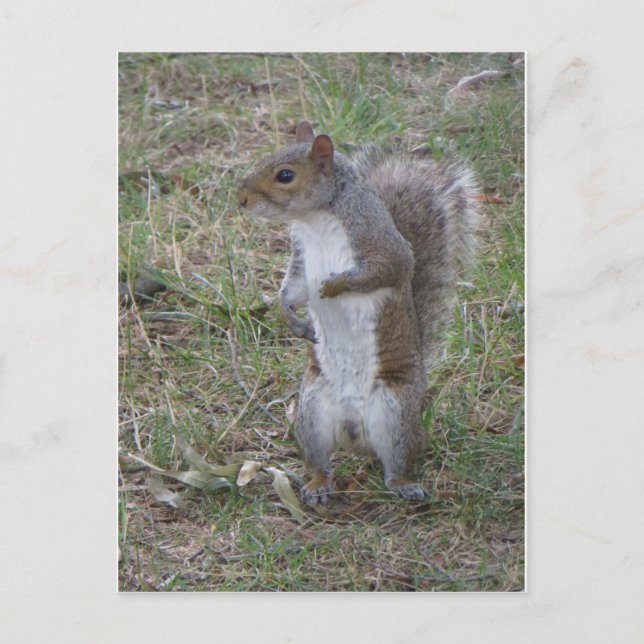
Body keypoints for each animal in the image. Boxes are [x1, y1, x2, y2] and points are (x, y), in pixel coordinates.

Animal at [237, 120, 478, 506]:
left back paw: (404, 485)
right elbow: (293, 289)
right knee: (321, 462)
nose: (240, 199)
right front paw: (292, 318)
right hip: (311, 412)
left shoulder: (379, 243)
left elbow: (385, 269)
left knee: (397, 462)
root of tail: (354, 436)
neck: (315, 217)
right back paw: (318, 486)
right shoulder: (301, 255)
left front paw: (333, 286)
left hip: (395, 412)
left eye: (285, 175)